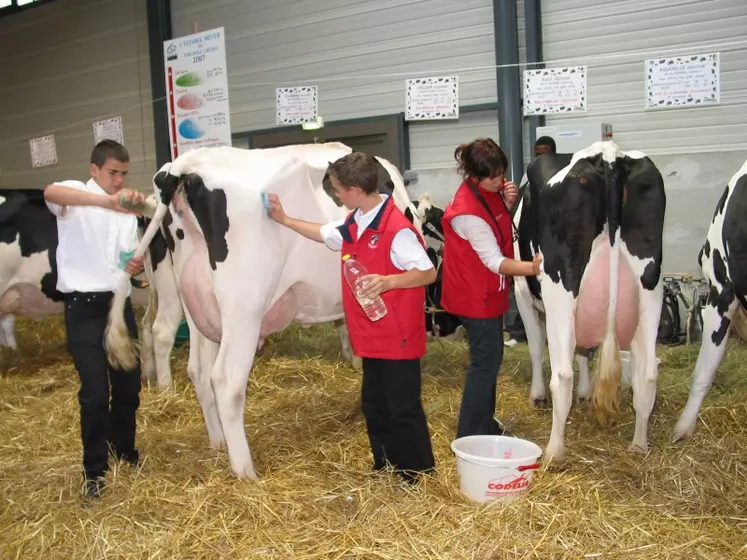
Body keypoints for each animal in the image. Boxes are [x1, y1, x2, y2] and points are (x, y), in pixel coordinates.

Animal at [516, 141, 668, 468]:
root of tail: (609, 153)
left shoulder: (522, 292)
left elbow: (536, 347)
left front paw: (537, 396)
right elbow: (584, 352)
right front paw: (586, 394)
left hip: (561, 288)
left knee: (562, 375)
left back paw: (554, 453)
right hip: (650, 288)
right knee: (648, 374)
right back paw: (639, 445)